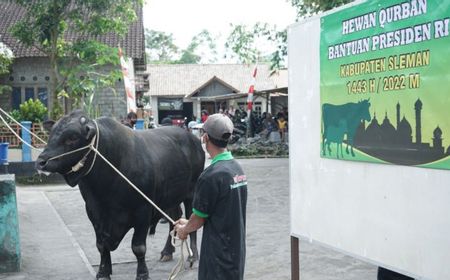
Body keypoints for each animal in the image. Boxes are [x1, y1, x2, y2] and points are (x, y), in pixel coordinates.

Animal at [36, 111, 205, 280]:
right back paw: (167, 251)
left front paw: (142, 274)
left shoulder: (143, 211)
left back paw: (193, 256)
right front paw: (103, 272)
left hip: (191, 194)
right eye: (51, 135)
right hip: (169, 198)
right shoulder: (93, 212)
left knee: (190, 221)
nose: (41, 162)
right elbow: (101, 245)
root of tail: (192, 139)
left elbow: (138, 247)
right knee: (174, 218)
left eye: (72, 138)